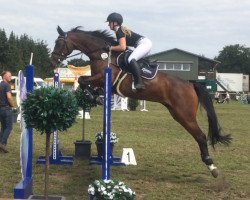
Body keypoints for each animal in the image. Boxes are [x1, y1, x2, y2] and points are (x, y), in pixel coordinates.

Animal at [50, 25, 232, 177]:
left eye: (59, 43)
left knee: (201, 136)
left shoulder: (103, 77)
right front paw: (95, 96)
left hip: (185, 115)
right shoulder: (100, 81)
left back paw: (212, 167)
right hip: (177, 113)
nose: (53, 61)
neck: (101, 54)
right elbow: (84, 82)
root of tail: (190, 84)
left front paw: (93, 96)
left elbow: (82, 80)